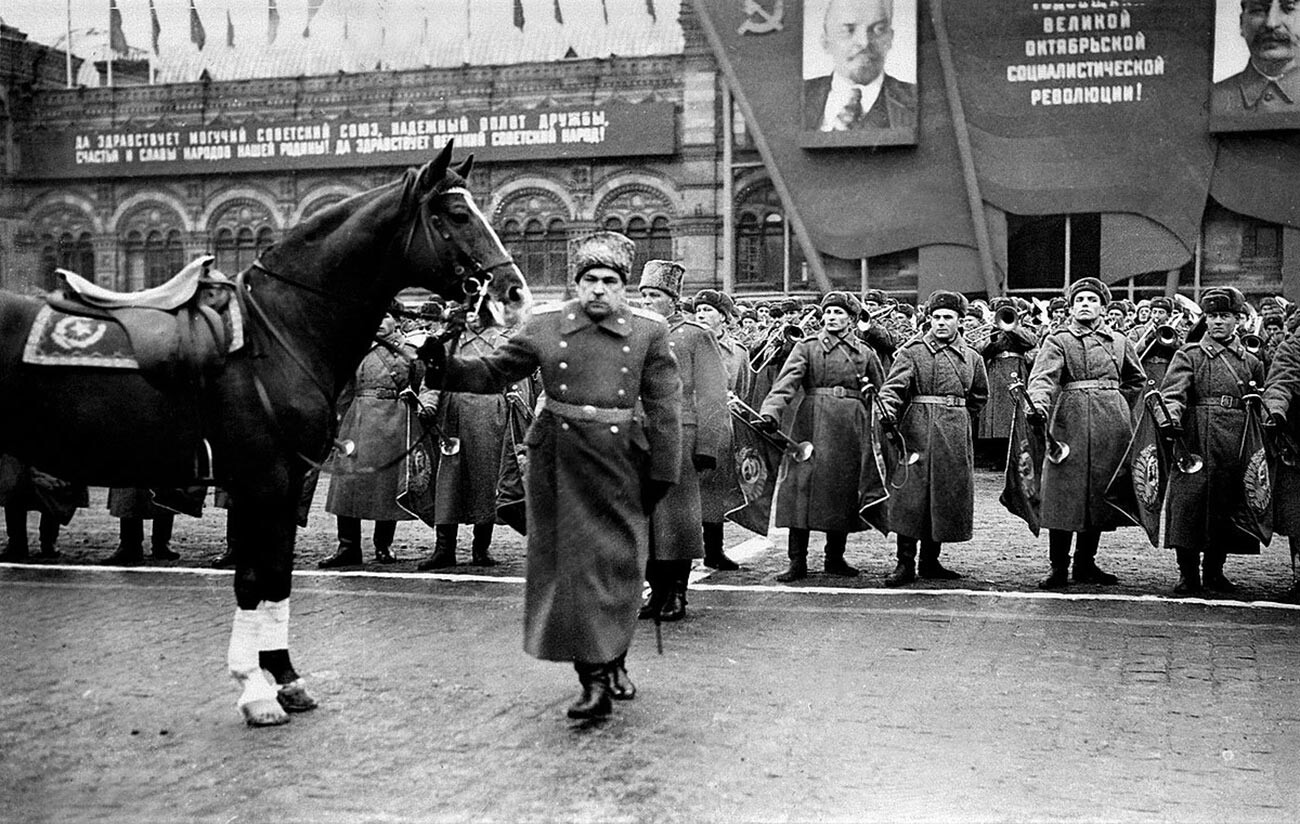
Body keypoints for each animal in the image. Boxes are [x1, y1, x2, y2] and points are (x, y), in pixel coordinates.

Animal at [0, 141, 533, 722]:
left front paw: (283, 678)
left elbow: (273, 575)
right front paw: (258, 689)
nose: (514, 292)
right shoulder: (264, 479)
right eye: (456, 214)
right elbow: (257, 578)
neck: (278, 333)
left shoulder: (283, 480)